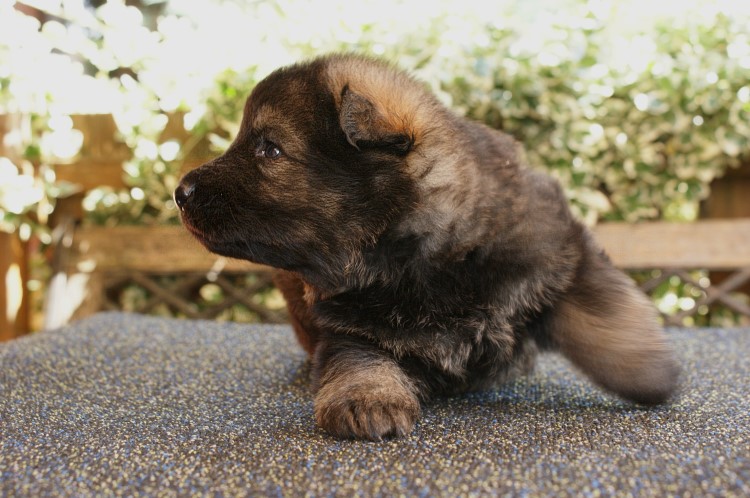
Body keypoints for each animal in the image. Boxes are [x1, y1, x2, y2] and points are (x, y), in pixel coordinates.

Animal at [174, 54, 680, 440]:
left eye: (269, 149)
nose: (180, 191)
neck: (417, 261)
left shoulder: (556, 253)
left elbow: (600, 312)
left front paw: (650, 372)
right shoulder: (349, 322)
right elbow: (359, 359)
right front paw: (367, 400)